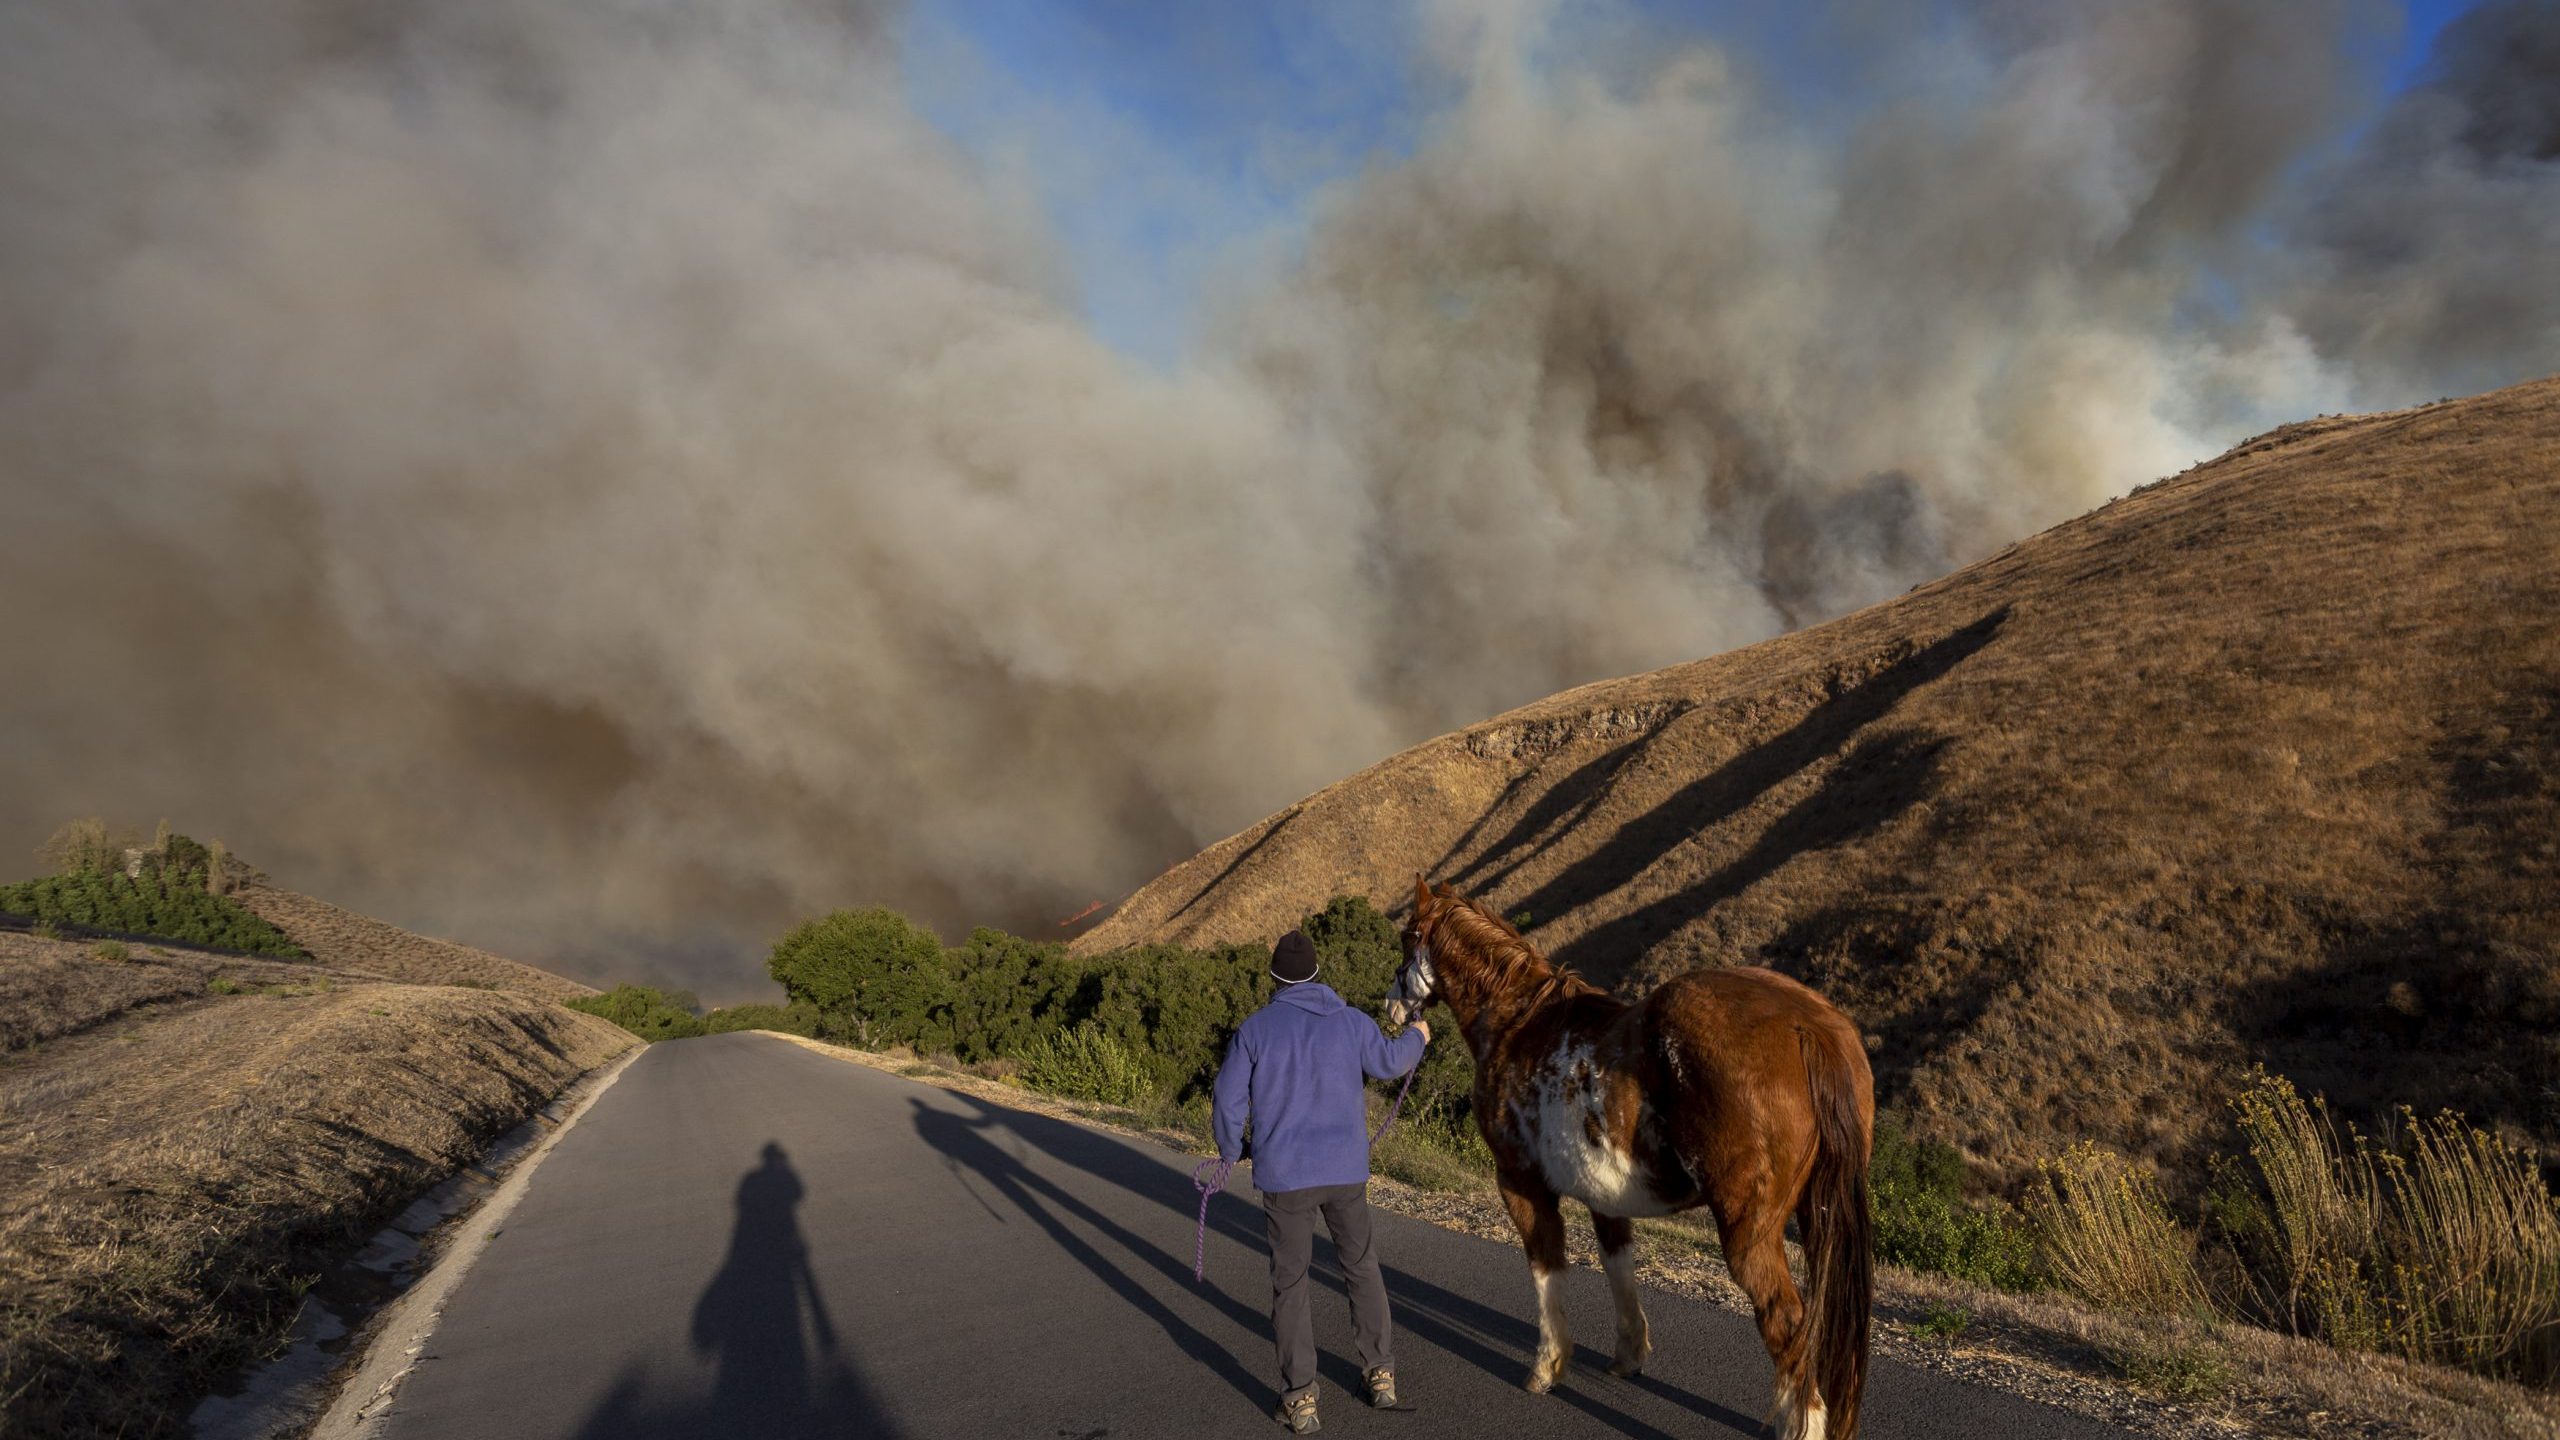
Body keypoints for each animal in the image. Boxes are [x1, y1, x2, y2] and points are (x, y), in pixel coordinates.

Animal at [1382, 876, 1884, 1434]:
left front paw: (1548, 1366)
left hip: (1748, 1231)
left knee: (1787, 1322)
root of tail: (1808, 1026)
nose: (1393, 1006)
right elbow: (1617, 1264)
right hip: (1820, 1214)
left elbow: (1546, 1267)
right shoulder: (1605, 1192)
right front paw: (1629, 1354)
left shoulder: (1520, 1182)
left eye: (1407, 936)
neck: (1518, 1023)